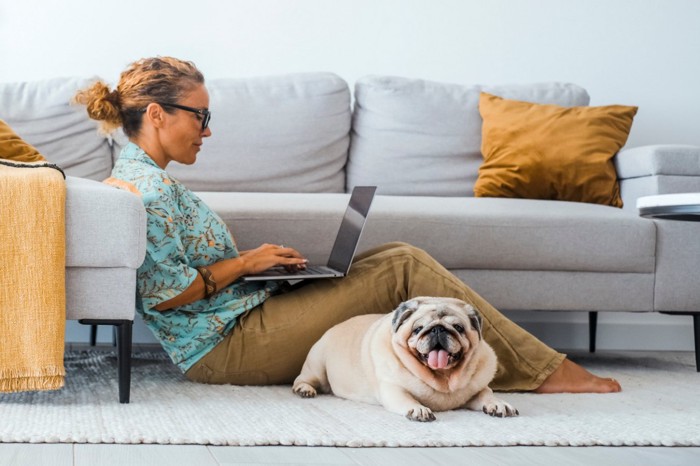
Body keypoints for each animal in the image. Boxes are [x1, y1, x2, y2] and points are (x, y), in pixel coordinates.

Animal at [292, 298, 516, 422]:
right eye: (418, 329)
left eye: (459, 328)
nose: (438, 329)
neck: (443, 379)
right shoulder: (393, 389)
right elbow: (407, 399)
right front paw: (418, 409)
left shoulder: (477, 389)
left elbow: (487, 394)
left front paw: (499, 404)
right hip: (317, 367)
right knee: (302, 379)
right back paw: (305, 390)